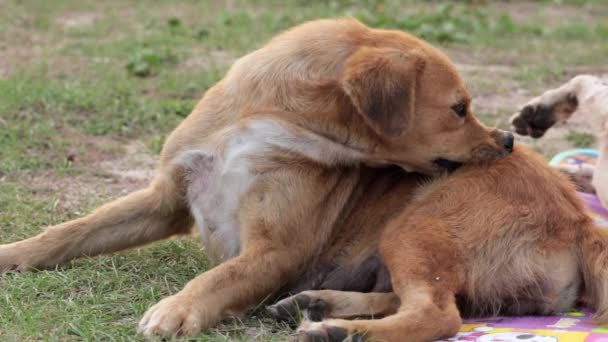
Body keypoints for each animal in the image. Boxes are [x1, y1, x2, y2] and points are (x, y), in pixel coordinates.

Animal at [0, 18, 512, 336]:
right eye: (459, 108)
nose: (508, 138)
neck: (271, 119)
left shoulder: (273, 251)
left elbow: (218, 278)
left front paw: (178, 308)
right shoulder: (165, 199)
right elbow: (71, 231)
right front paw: (12, 254)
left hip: (412, 230)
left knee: (438, 312)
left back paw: (336, 327)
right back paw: (317, 309)